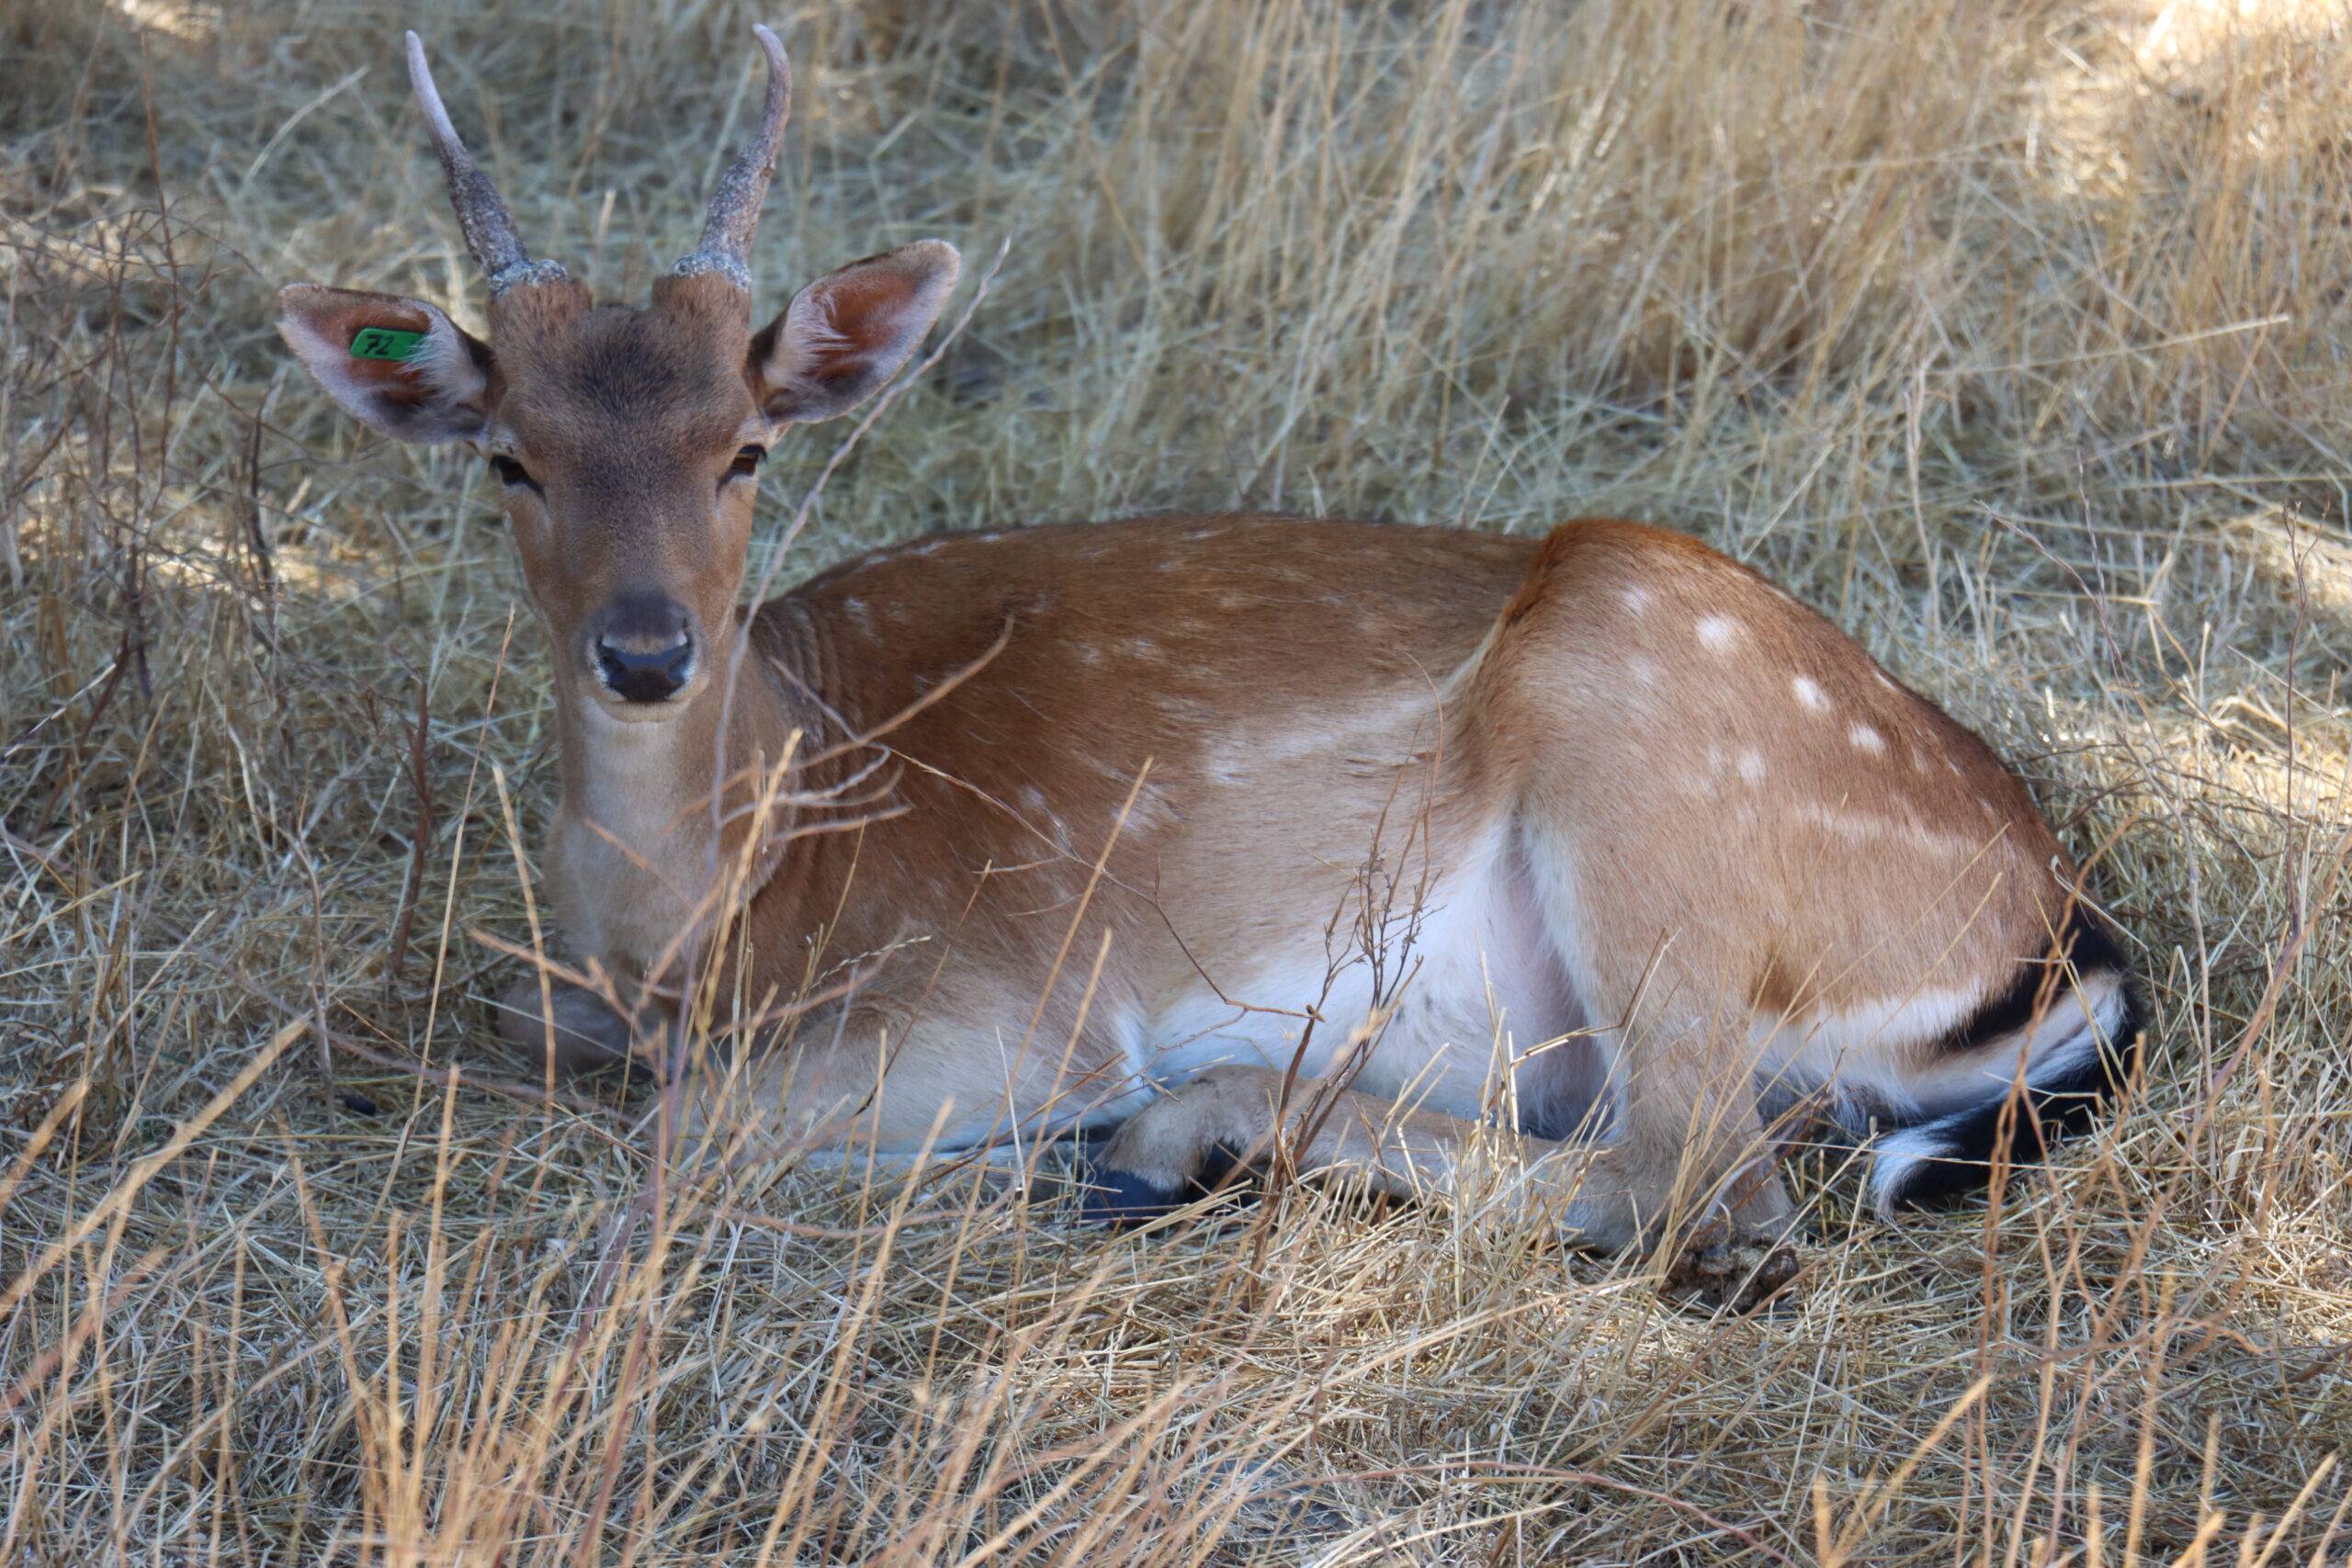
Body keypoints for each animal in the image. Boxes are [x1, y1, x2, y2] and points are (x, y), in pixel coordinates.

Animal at [270, 28, 2135, 1316]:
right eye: (508, 457)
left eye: (746, 448)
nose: (647, 648)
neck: (726, 904)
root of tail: (2063, 933)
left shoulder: (1006, 1004)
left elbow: (674, 1135)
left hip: (1649, 764)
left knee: (1710, 1192)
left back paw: (1169, 1143)